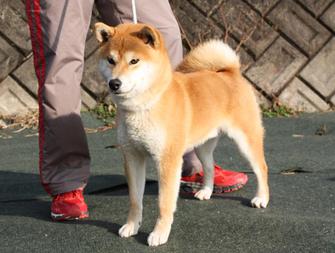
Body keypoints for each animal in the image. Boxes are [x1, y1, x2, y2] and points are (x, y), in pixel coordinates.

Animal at [94, 22, 270, 247]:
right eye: (111, 60)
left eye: (134, 61)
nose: (114, 83)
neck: (144, 106)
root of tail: (230, 72)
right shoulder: (132, 157)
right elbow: (135, 200)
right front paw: (132, 226)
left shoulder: (167, 161)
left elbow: (164, 203)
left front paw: (159, 233)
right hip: (203, 145)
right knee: (209, 166)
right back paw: (206, 191)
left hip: (246, 141)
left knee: (261, 168)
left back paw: (262, 198)